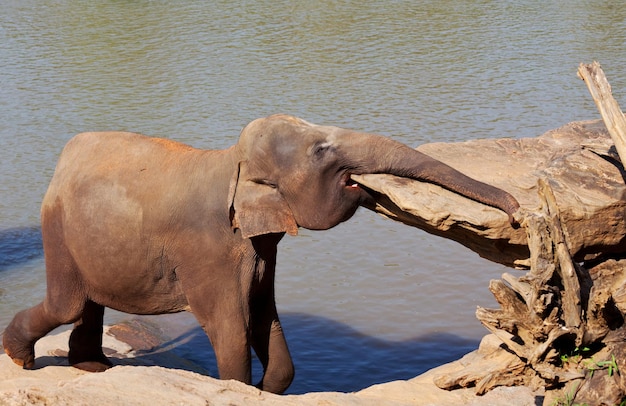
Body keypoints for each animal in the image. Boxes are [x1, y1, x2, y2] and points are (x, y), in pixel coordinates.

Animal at [1, 113, 516, 394]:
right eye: (322, 151)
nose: (515, 215)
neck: (233, 161)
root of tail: (63, 159)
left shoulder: (261, 248)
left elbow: (264, 312)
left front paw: (270, 389)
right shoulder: (209, 246)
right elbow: (229, 324)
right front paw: (242, 387)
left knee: (87, 305)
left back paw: (91, 367)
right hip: (57, 231)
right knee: (68, 303)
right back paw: (22, 358)